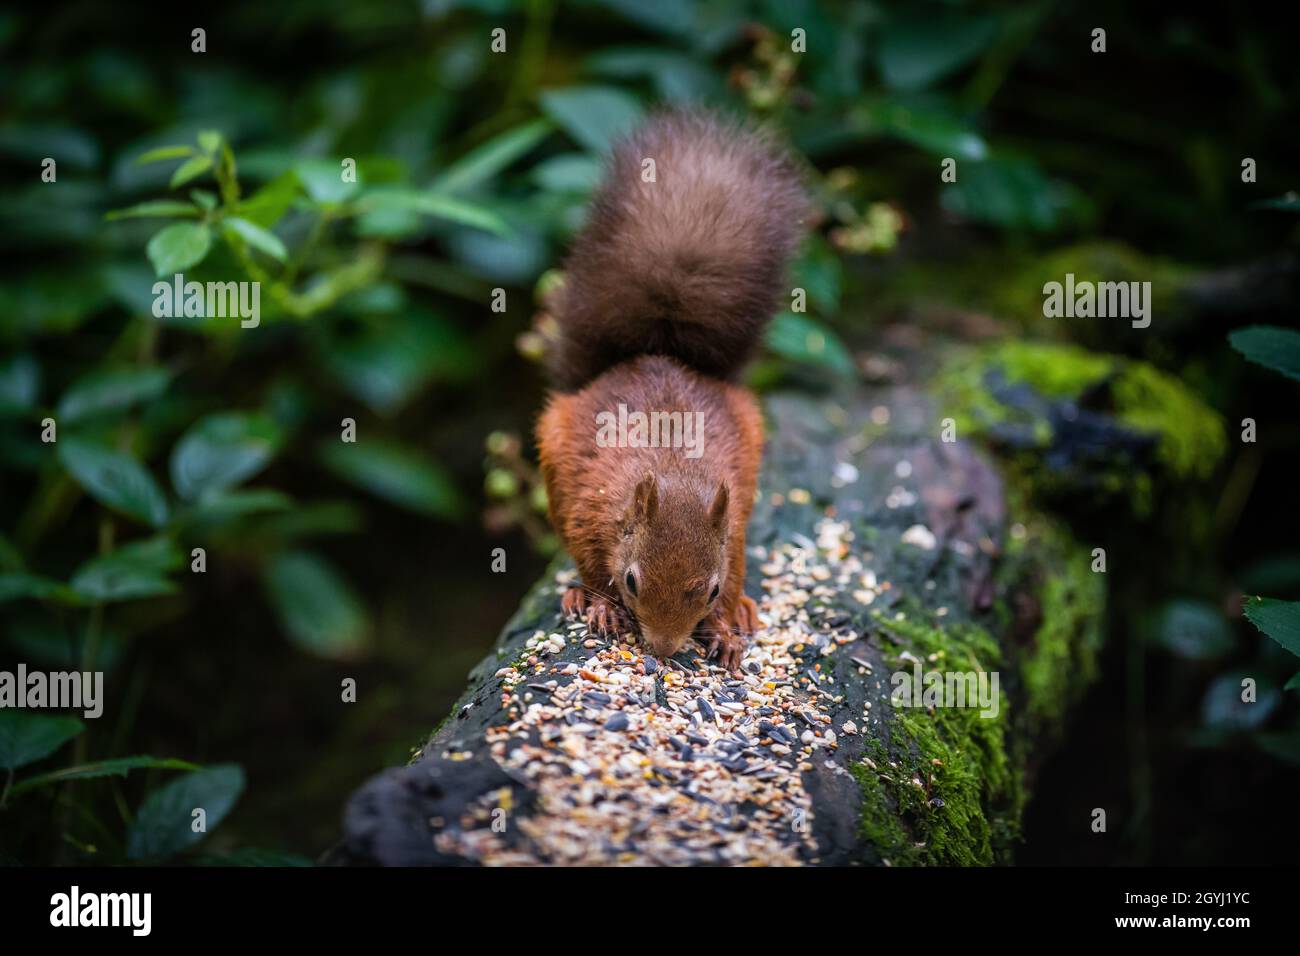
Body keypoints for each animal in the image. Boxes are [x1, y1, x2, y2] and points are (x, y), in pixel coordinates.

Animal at [536, 109, 807, 670]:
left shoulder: (732, 530)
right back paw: (573, 595)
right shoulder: (587, 510)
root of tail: (657, 352)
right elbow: (592, 565)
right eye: (633, 581)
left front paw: (724, 628)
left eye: (709, 590)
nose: (662, 651)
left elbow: (736, 567)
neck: (673, 471)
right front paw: (605, 608)